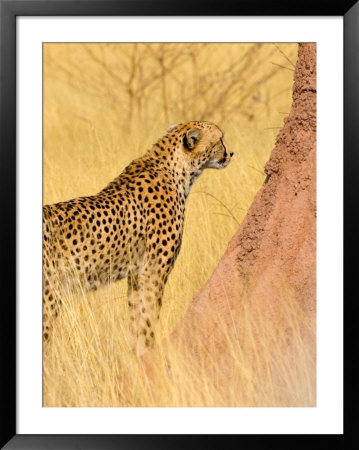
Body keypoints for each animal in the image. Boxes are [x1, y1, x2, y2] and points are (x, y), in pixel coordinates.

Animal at [43, 122, 233, 356]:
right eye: (220, 139)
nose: (230, 153)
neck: (177, 169)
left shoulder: (136, 274)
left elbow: (137, 319)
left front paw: (136, 354)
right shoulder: (153, 271)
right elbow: (149, 319)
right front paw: (150, 352)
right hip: (49, 297)